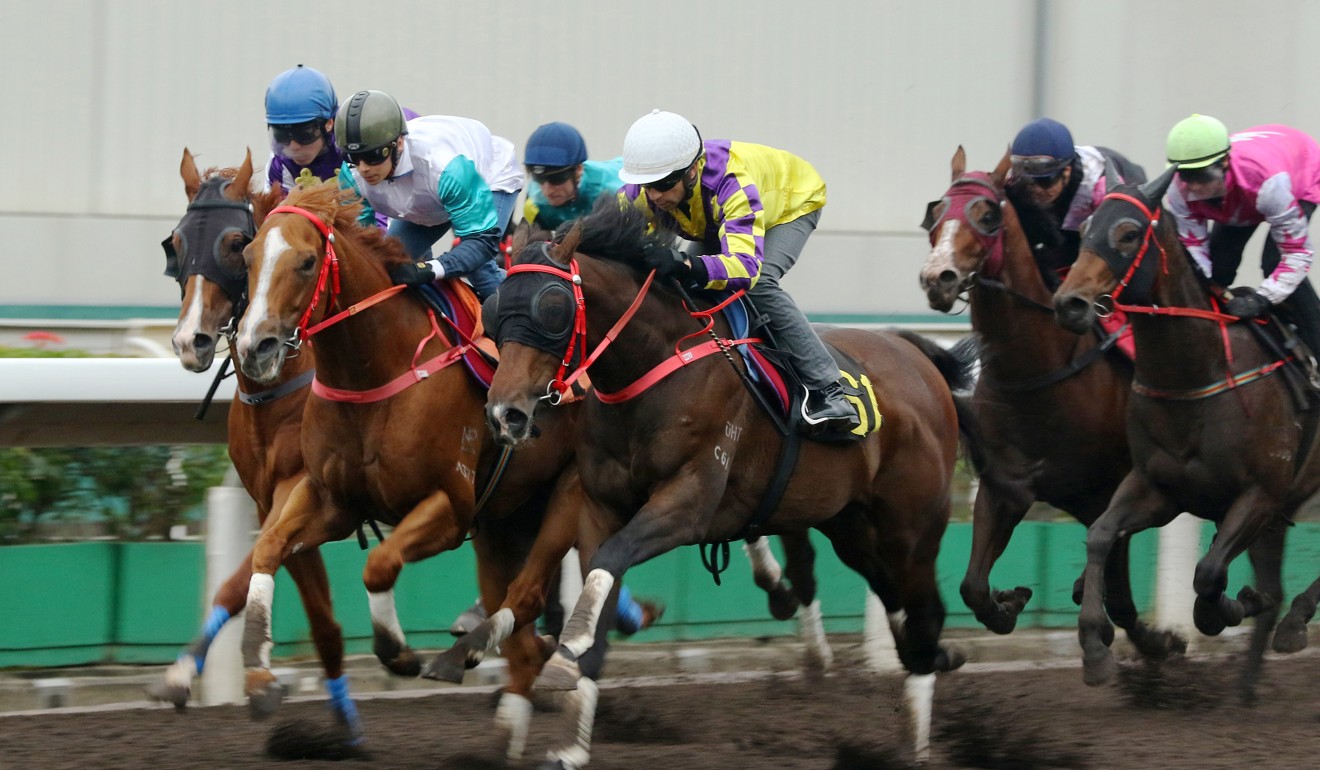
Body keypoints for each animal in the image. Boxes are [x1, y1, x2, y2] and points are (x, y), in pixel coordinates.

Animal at [149, 150, 351, 718]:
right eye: (175, 243)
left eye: (235, 243)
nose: (189, 341)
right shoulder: (268, 499)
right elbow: (247, 582)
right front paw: (180, 673)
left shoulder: (311, 492)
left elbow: (261, 571)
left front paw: (260, 675)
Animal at [233, 180, 583, 760]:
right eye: (248, 257)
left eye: (306, 261)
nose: (253, 348)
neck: (373, 371)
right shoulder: (330, 498)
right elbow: (268, 547)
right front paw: (259, 679)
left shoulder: (449, 508)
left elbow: (378, 564)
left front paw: (397, 651)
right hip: (502, 528)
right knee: (523, 641)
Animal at [480, 200, 987, 770]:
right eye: (495, 307)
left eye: (552, 307)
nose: (505, 414)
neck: (654, 367)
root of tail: (918, 356)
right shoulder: (599, 504)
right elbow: (600, 577)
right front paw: (569, 736)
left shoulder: (690, 502)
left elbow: (611, 560)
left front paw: (561, 664)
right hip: (852, 526)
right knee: (898, 603)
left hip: (910, 526)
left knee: (924, 608)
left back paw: (919, 735)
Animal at [918, 147, 1188, 660]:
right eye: (936, 212)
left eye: (987, 213)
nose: (936, 278)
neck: (1038, 372)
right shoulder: (1006, 486)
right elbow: (972, 587)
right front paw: (1010, 601)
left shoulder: (1113, 487)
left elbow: (1119, 593)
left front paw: (1156, 639)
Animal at [1050, 162, 1309, 697]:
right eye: (1084, 231)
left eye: (1128, 234)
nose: (1069, 304)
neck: (1196, 374)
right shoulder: (1159, 488)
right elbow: (1101, 535)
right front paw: (1094, 649)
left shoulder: (1259, 494)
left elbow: (1208, 573)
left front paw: (1223, 609)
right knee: (1275, 589)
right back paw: (1247, 686)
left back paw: (1295, 623)